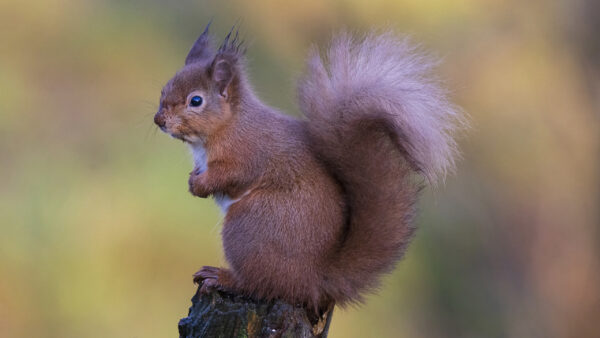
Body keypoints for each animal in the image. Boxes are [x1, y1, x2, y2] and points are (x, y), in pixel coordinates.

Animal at [154, 23, 460, 312]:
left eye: (196, 101)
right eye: (163, 90)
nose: (159, 120)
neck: (229, 125)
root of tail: (312, 279)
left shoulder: (247, 153)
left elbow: (231, 175)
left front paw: (199, 185)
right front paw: (193, 179)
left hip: (251, 226)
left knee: (260, 285)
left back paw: (222, 277)